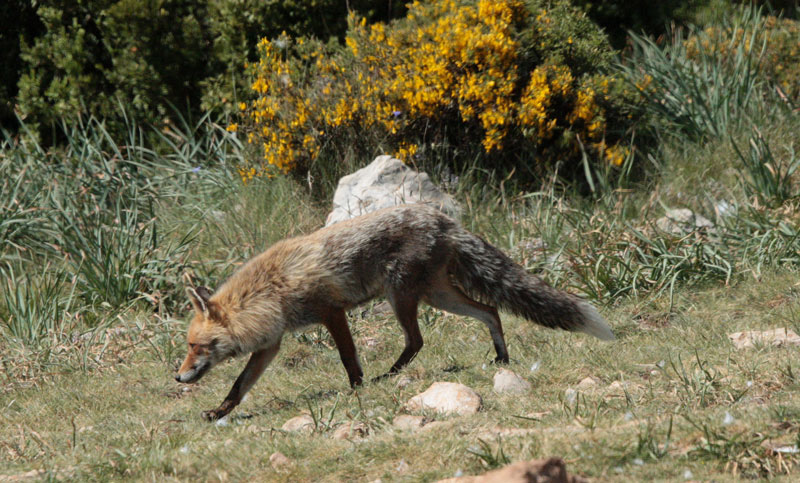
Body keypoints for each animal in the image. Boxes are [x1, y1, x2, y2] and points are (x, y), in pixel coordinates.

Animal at [175, 202, 612, 422]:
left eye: (196, 345)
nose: (178, 377)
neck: (273, 289)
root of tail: (443, 219)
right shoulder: (271, 343)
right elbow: (239, 386)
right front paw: (218, 412)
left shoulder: (330, 312)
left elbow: (348, 358)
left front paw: (356, 389)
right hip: (438, 296)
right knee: (490, 311)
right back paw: (501, 358)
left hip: (400, 296)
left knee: (417, 340)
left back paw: (389, 375)